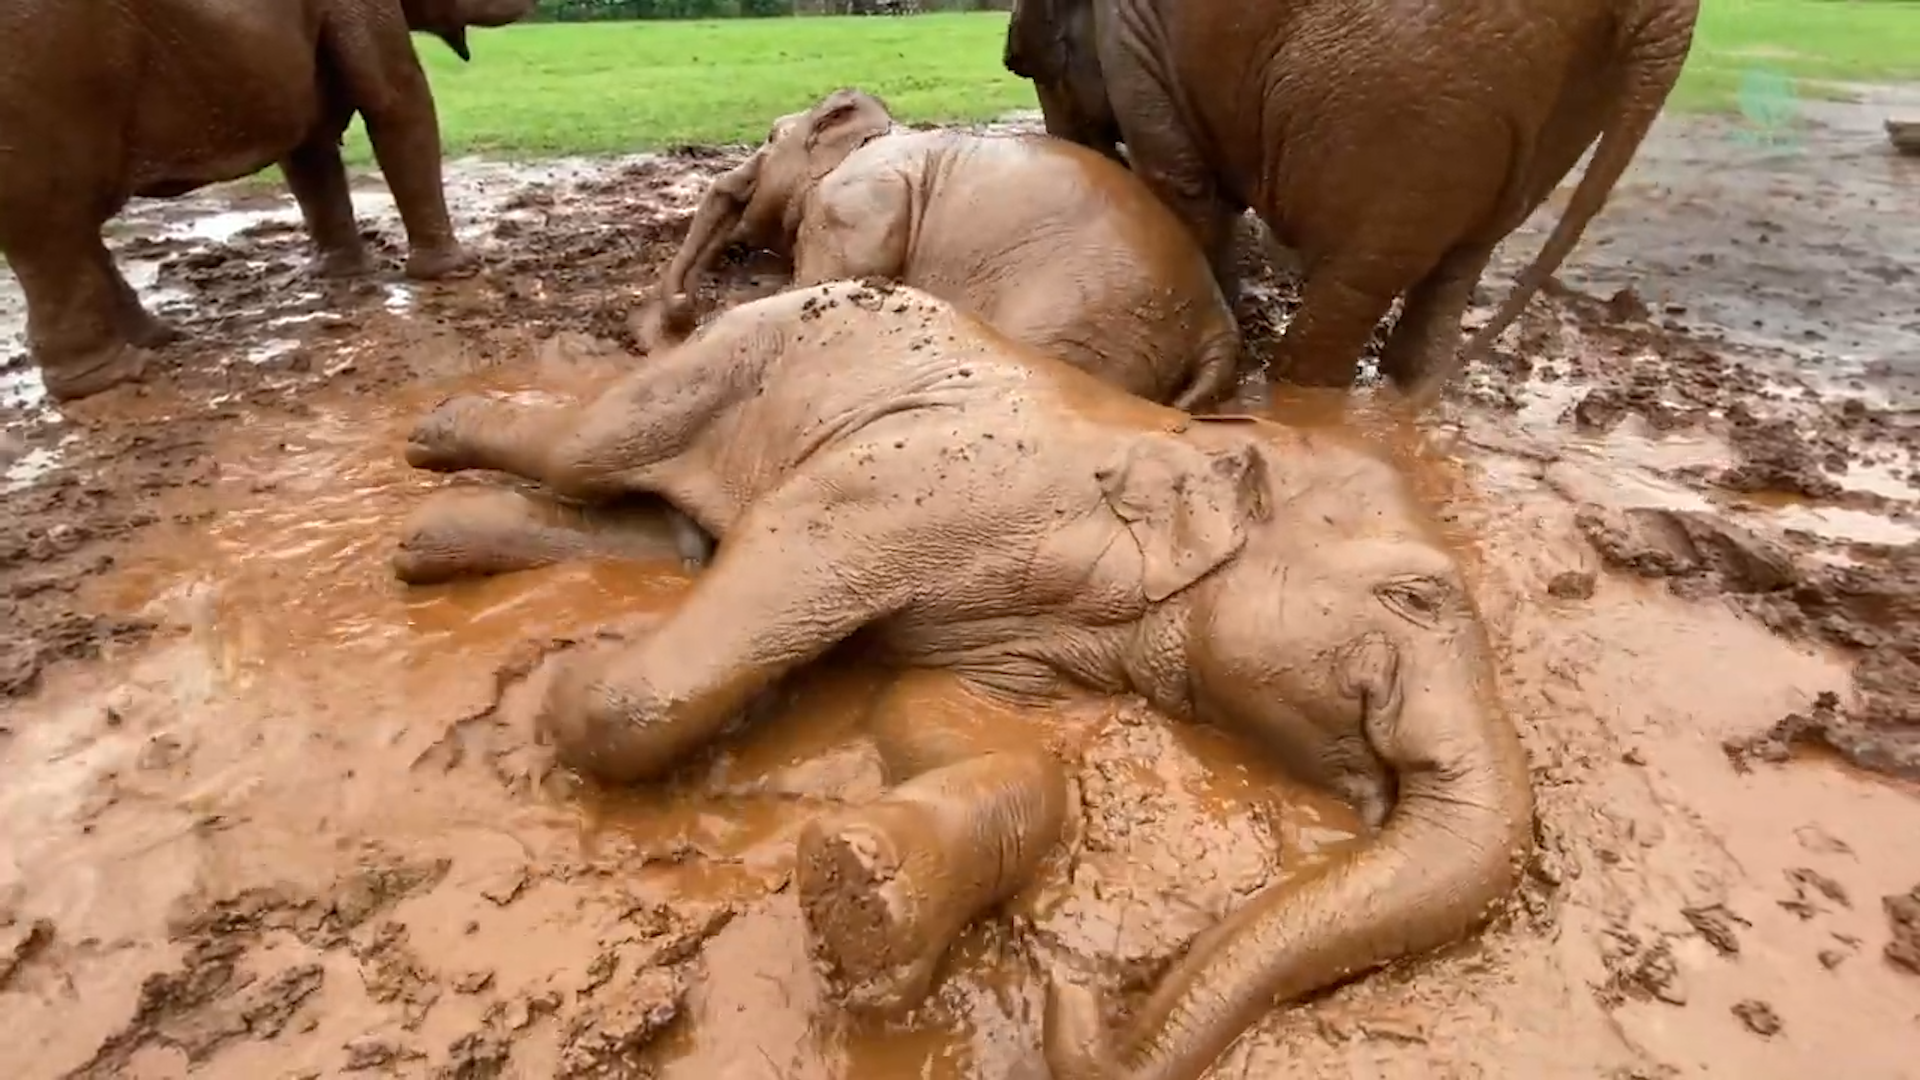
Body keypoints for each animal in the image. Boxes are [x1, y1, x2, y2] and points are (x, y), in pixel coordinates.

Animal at [0, 0, 535, 402]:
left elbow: (309, 144)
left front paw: (337, 276)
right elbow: (397, 98)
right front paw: (458, 270)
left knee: (67, 225)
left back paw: (155, 341)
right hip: (42, 71)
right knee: (52, 220)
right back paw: (115, 375)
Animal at [399, 278, 1533, 1080]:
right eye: (1416, 596)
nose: (1077, 985)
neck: (1172, 441)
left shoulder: (1024, 638)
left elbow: (937, 715)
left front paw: (866, 905)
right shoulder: (911, 484)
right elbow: (786, 556)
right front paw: (568, 682)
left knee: (666, 529)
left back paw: (428, 545)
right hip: (730, 357)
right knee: (588, 451)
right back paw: (435, 440)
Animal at [641, 87, 1241, 411]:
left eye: (768, 136)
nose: (684, 306)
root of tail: (1216, 324)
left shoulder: (852, 206)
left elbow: (818, 284)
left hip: (1087, 317)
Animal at [1002, 0, 1699, 408]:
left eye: (1028, 67)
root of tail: (1669, 15)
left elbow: (1185, 188)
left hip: (1413, 96)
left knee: (1357, 275)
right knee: (1454, 264)